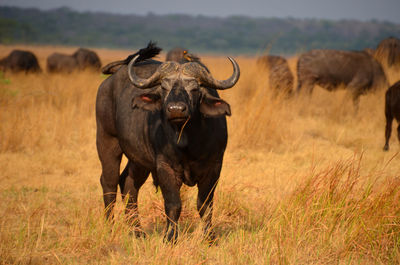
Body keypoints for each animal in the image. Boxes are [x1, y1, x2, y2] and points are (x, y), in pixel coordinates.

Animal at [96, 42, 241, 241]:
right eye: (164, 88)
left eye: (194, 88)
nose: (176, 109)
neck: (187, 142)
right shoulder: (165, 167)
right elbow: (173, 204)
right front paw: (170, 237)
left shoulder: (214, 166)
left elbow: (205, 204)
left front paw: (210, 238)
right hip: (107, 141)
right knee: (109, 182)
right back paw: (110, 227)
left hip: (139, 159)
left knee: (128, 184)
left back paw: (137, 231)